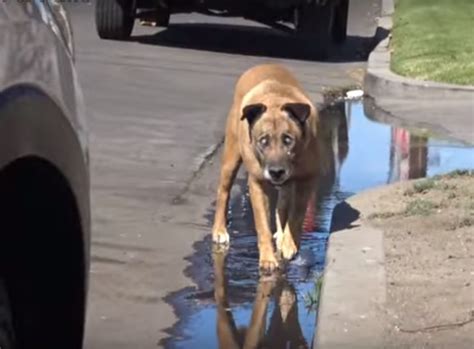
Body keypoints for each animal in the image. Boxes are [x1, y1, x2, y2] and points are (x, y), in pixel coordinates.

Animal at [212, 63, 326, 272]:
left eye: (288, 140)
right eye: (263, 141)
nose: (276, 172)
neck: (275, 100)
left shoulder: (307, 178)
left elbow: (296, 215)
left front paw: (289, 244)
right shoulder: (257, 183)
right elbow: (262, 225)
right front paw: (267, 258)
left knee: (283, 205)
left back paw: (281, 235)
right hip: (231, 156)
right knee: (223, 191)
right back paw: (219, 230)